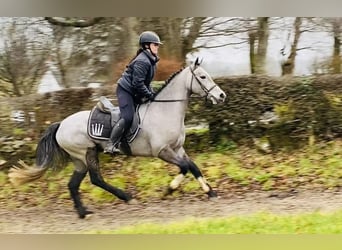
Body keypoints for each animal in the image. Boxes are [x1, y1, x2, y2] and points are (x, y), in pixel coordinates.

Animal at [8, 57, 226, 218]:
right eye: (202, 76)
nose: (222, 96)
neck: (165, 110)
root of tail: (61, 124)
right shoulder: (162, 151)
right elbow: (185, 167)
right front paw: (169, 190)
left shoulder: (178, 148)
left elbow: (193, 166)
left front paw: (210, 192)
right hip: (85, 152)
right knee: (96, 179)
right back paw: (126, 197)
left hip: (80, 159)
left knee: (74, 183)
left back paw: (83, 212)